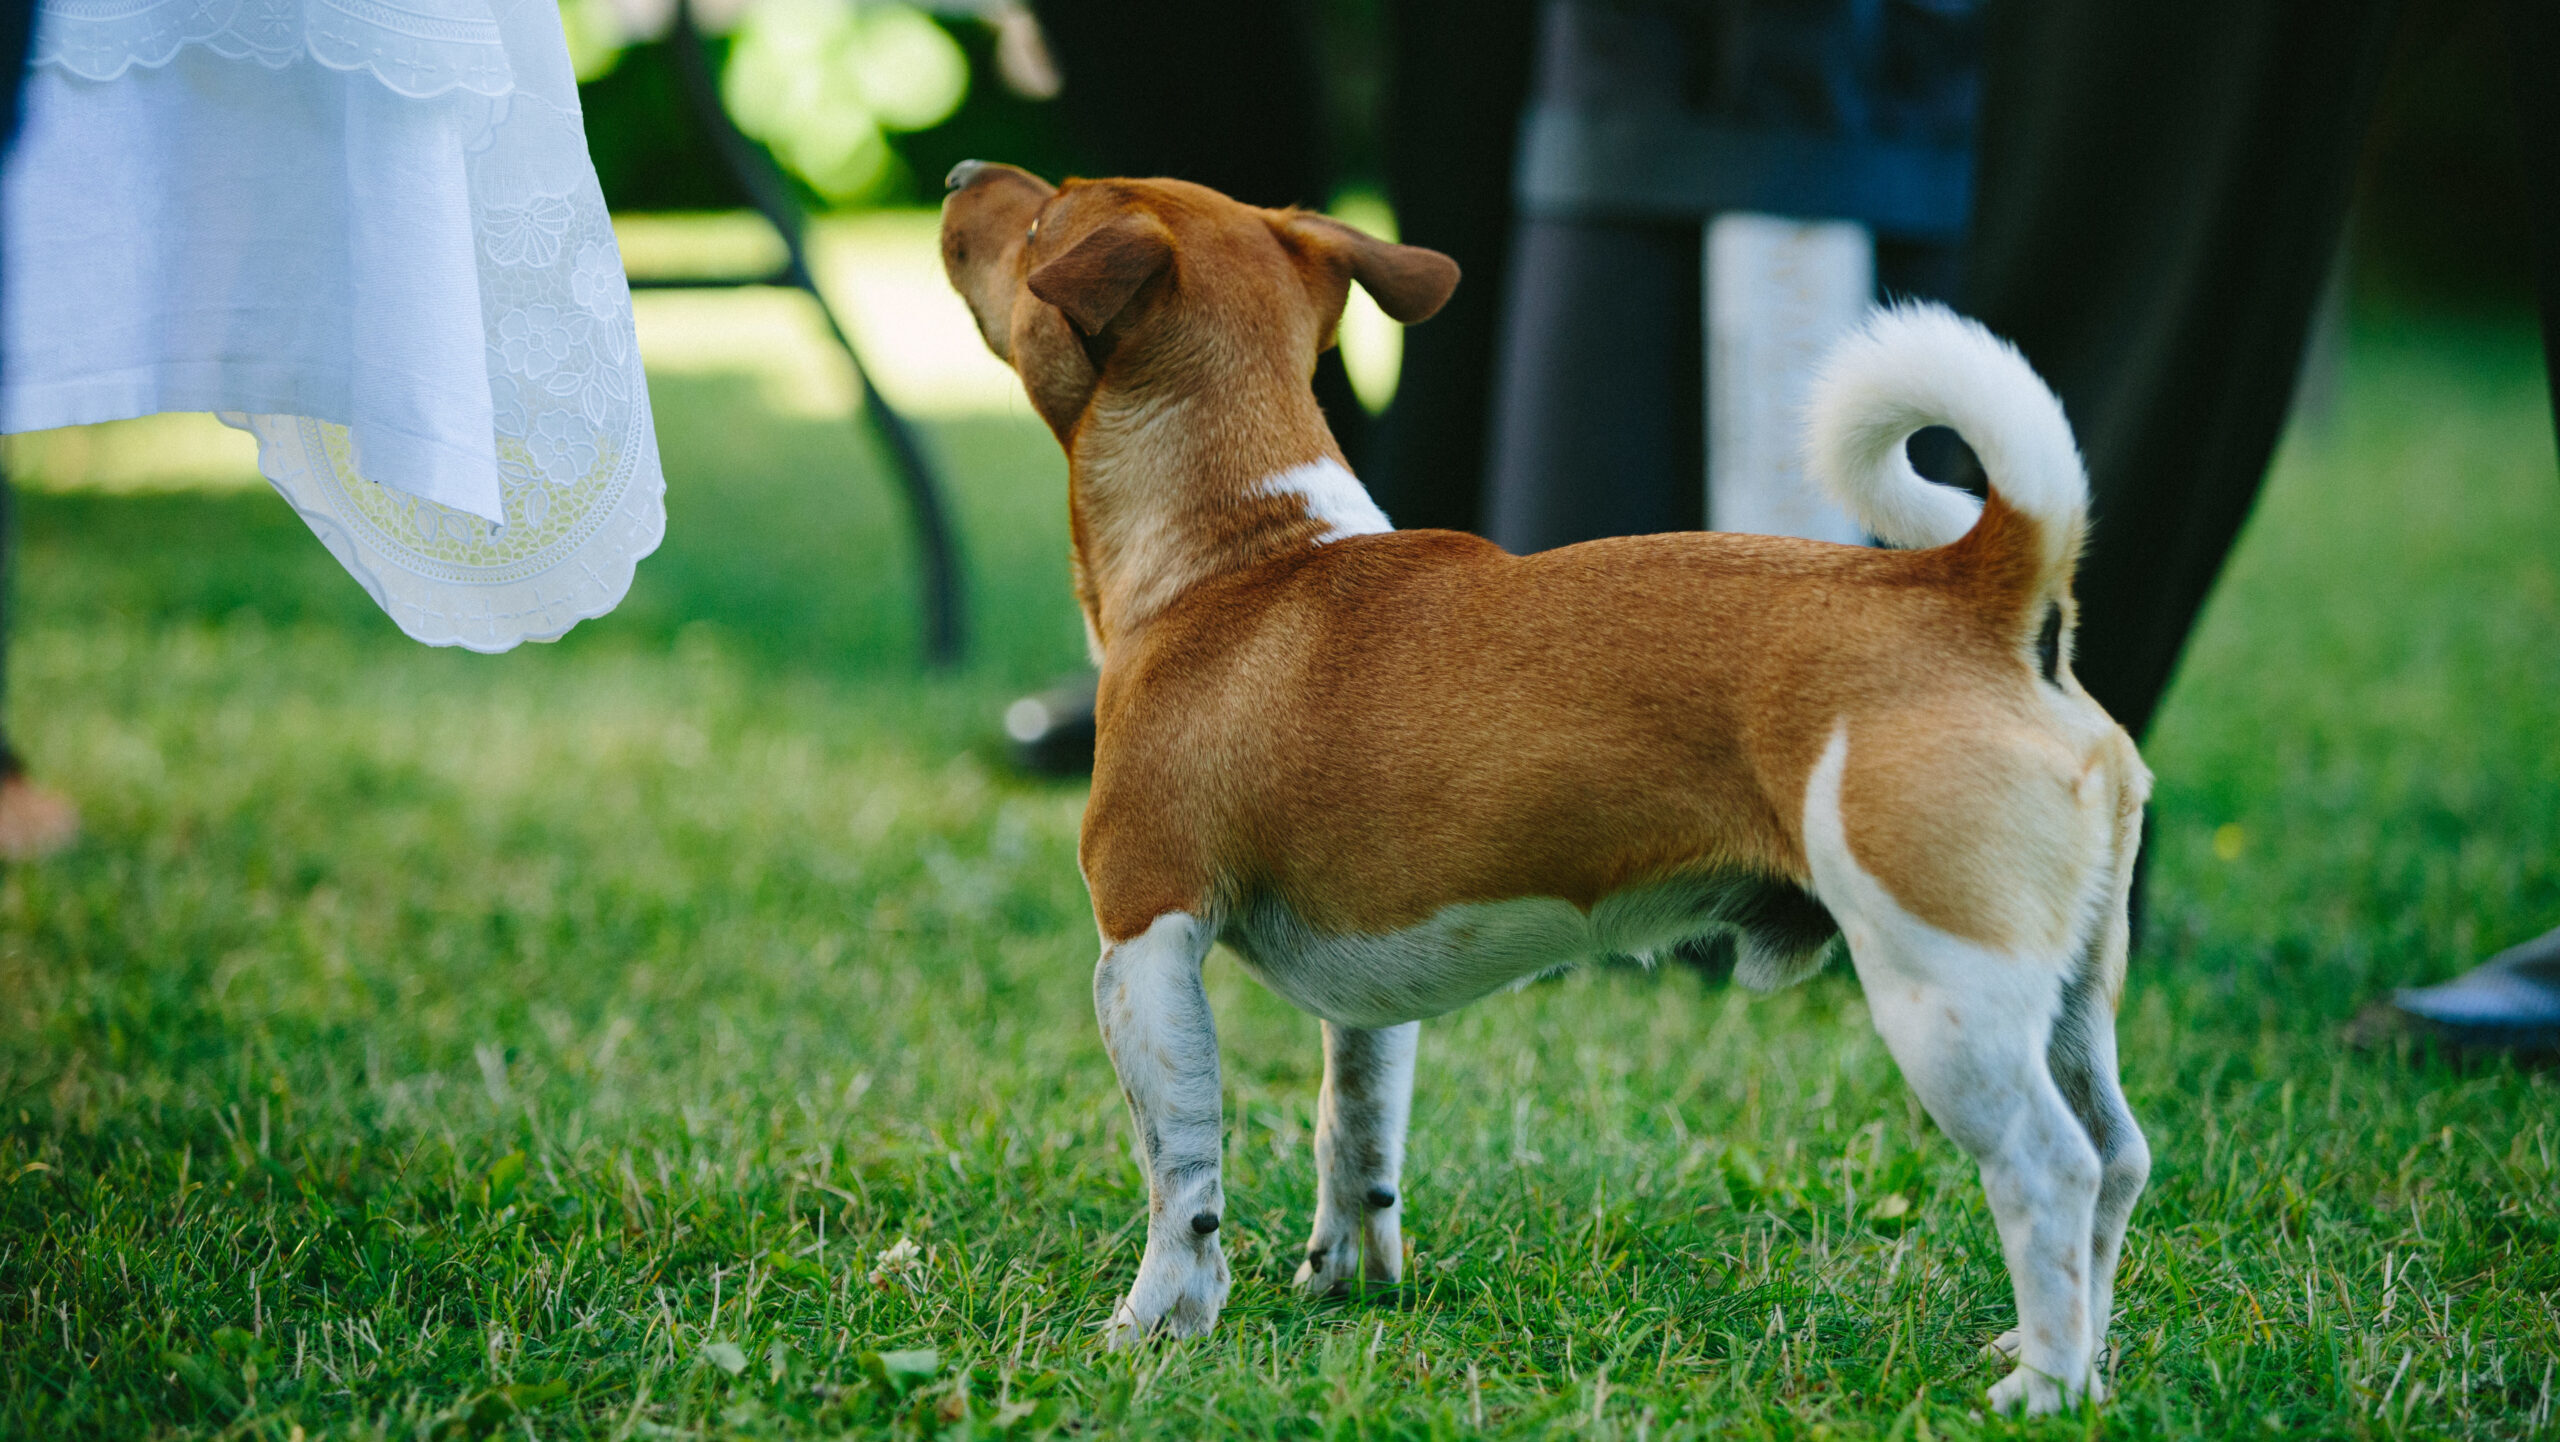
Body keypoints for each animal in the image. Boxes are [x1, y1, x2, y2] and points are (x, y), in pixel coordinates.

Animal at [942, 163, 2140, 1413]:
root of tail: (1976, 590)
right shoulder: (1367, 999)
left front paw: (1157, 1324)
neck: (1239, 552)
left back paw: (2043, 1386)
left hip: (1943, 993)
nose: (961, 175)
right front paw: (1345, 1281)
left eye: (1040, 222)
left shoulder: (1145, 946)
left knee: (2047, 1167)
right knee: (2114, 1157)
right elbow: (1353, 1134)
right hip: (2065, 994)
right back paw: (2079, 1355)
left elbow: (1181, 1172)